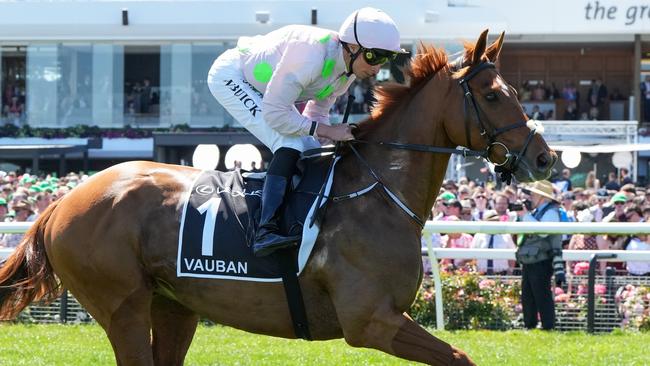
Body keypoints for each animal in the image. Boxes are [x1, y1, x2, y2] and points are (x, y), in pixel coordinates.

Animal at [1, 31, 552, 366]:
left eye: (516, 91)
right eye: (493, 95)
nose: (544, 158)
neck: (377, 193)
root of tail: (63, 202)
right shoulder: (370, 320)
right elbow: (459, 356)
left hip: (174, 305)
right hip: (122, 305)